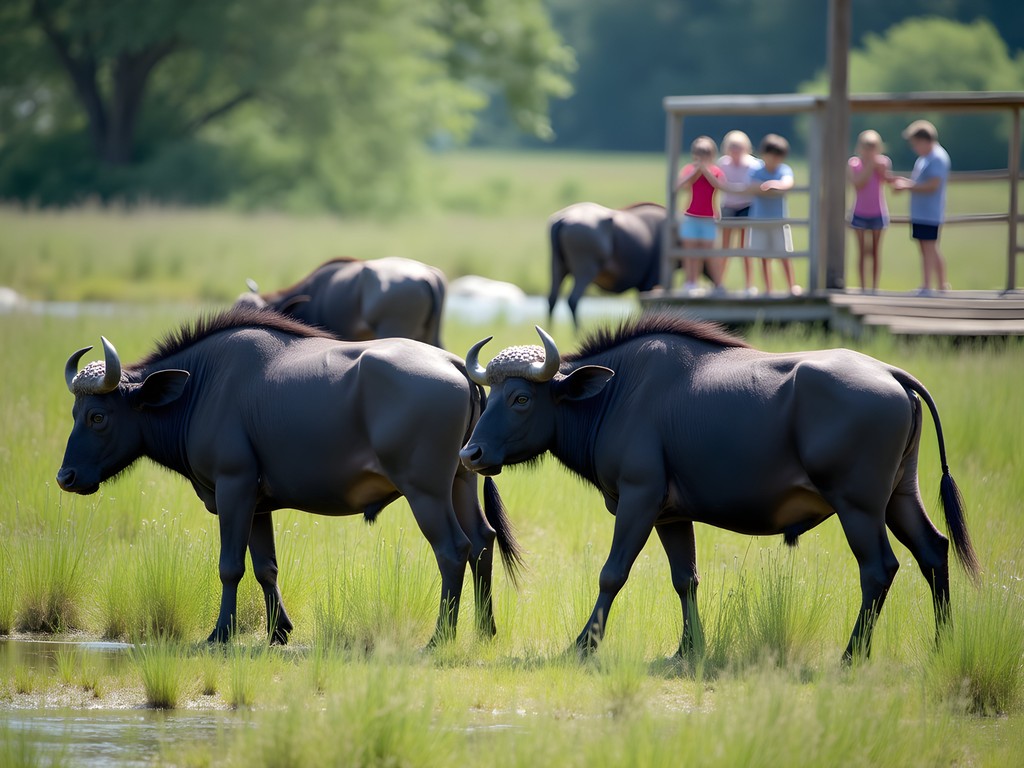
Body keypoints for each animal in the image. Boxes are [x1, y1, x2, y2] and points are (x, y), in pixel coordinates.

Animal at [57, 307, 521, 646]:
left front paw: (219, 634)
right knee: (482, 541)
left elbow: (230, 565)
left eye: (98, 416)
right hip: (461, 481)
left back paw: (440, 638)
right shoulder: (258, 504)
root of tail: (454, 363)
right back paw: (485, 631)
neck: (202, 387)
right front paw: (277, 631)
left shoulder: (234, 487)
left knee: (453, 549)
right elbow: (266, 567)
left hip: (425, 492)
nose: (66, 477)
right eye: (75, 413)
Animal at [460, 313, 979, 662]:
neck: (618, 393)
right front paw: (688, 650)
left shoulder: (638, 500)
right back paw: (943, 644)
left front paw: (583, 645)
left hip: (859, 506)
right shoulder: (670, 515)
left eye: (521, 398)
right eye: (493, 394)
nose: (471, 454)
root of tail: (891, 374)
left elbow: (612, 573)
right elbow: (685, 578)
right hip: (900, 497)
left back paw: (852, 655)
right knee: (933, 550)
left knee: (878, 569)